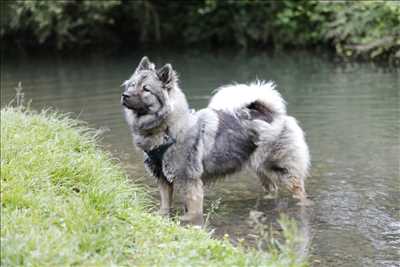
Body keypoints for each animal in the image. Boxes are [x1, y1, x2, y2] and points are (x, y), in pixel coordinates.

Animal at [120, 56, 310, 226]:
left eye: (146, 89)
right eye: (131, 85)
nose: (125, 95)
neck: (168, 129)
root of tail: (274, 114)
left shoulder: (190, 183)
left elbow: (193, 213)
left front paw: (187, 222)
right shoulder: (163, 180)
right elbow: (165, 206)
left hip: (284, 172)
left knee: (299, 192)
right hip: (263, 171)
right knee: (272, 190)